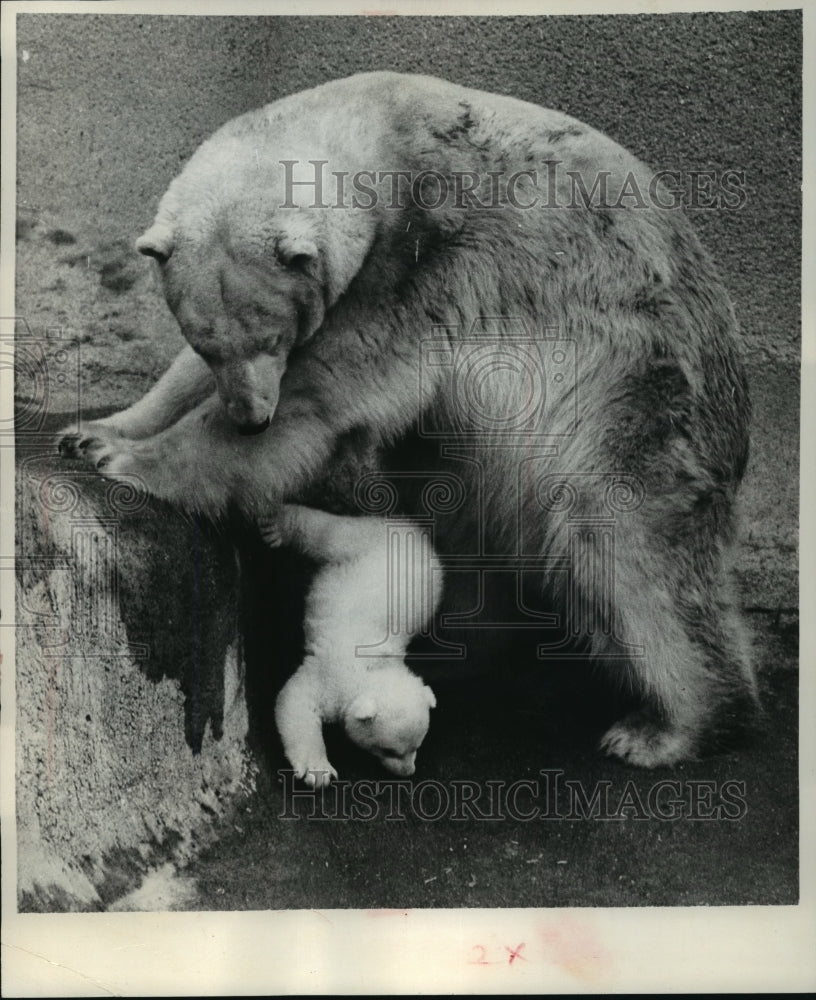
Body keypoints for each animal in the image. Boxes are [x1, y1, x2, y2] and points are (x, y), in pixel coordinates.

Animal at [60, 72, 756, 764]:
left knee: (625, 547)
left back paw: (663, 729)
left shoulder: (423, 262)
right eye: (207, 341)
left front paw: (129, 461)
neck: (381, 138)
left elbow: (323, 386)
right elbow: (188, 379)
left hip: (634, 394)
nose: (251, 417)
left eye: (272, 336)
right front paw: (96, 431)